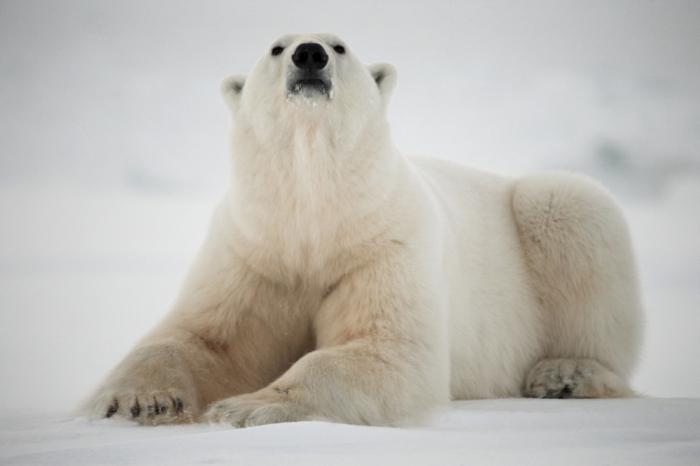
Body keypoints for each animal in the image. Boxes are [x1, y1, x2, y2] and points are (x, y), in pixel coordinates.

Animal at [79, 32, 644, 426]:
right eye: (276, 46)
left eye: (339, 45)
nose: (309, 55)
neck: (317, 217)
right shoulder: (253, 251)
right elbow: (203, 336)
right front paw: (139, 399)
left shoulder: (383, 244)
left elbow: (387, 348)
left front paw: (246, 406)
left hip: (546, 212)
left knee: (571, 213)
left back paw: (565, 372)